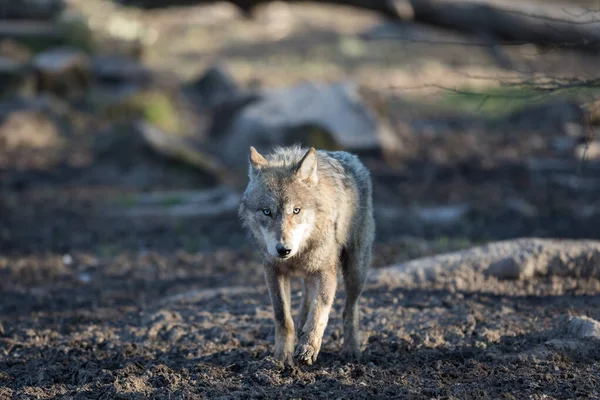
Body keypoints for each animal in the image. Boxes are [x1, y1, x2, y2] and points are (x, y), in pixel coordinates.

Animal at [238, 145, 376, 366]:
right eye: (267, 212)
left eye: (296, 210)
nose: (283, 249)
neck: (298, 254)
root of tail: (352, 157)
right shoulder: (272, 271)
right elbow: (284, 317)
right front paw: (281, 357)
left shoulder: (327, 272)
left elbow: (320, 312)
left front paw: (308, 348)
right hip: (312, 275)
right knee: (305, 303)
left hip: (355, 271)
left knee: (349, 309)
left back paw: (351, 349)